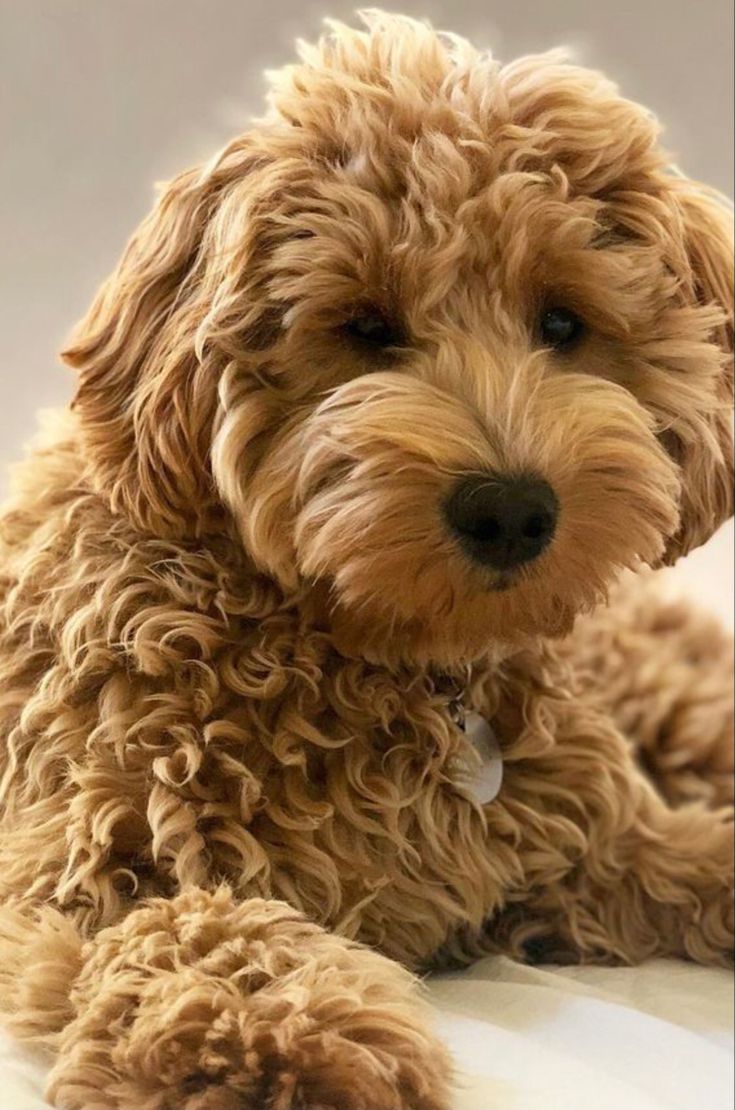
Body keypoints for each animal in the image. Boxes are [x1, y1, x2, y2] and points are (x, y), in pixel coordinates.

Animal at [0, 10, 732, 1110]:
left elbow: (689, 858)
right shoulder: (81, 870)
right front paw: (287, 1046)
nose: (510, 510)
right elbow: (195, 930)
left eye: (562, 322)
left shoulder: (579, 844)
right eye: (363, 328)